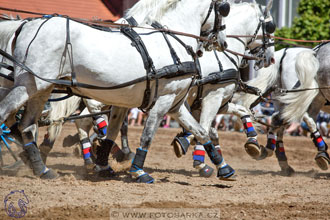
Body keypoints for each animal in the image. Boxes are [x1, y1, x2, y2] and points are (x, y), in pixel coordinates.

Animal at [0, 0, 229, 180]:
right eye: (225, 8)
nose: (223, 43)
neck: (170, 42)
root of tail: (25, 25)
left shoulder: (174, 104)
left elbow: (201, 131)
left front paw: (223, 166)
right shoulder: (163, 101)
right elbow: (147, 136)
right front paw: (138, 171)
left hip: (42, 88)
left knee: (26, 126)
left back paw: (42, 170)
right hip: (28, 84)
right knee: (7, 115)